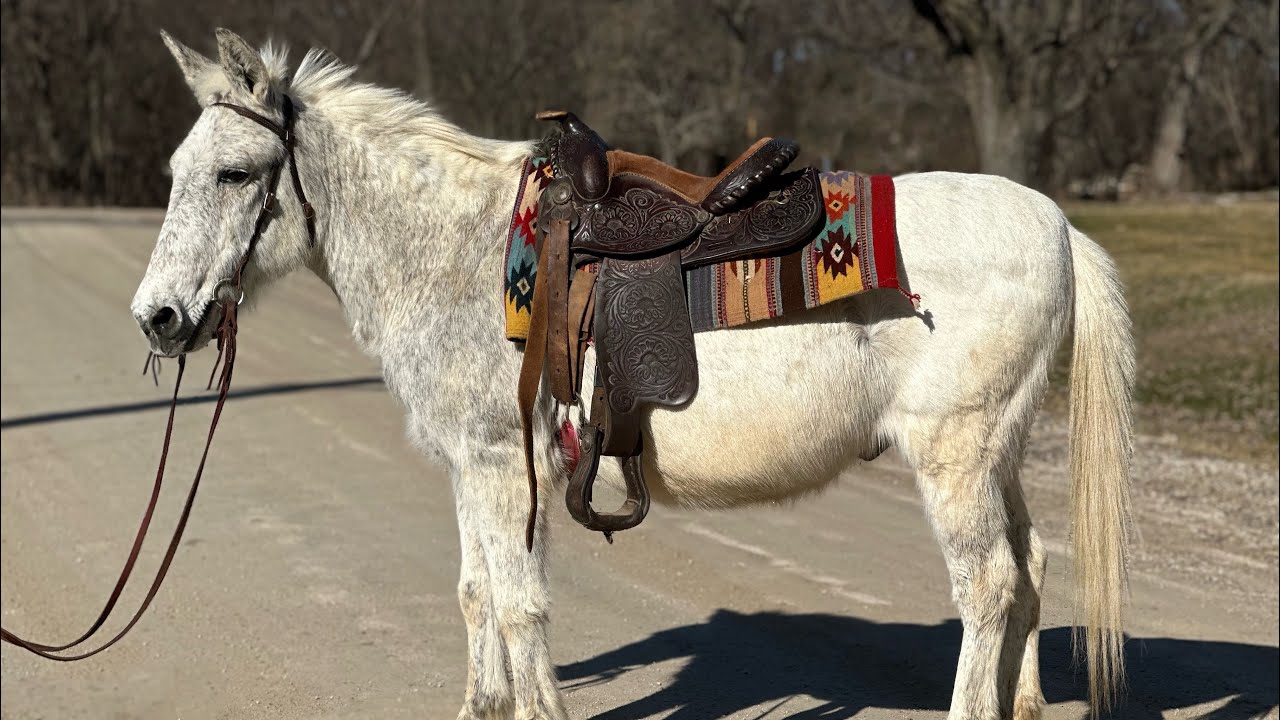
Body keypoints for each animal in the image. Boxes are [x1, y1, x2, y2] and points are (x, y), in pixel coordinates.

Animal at [131, 29, 1134, 720]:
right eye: (177, 169)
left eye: (235, 173)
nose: (159, 317)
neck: (459, 251)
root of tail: (1058, 224)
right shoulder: (474, 465)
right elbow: (476, 594)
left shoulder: (502, 466)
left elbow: (518, 604)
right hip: (997, 453)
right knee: (1031, 566)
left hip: (954, 454)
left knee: (988, 584)